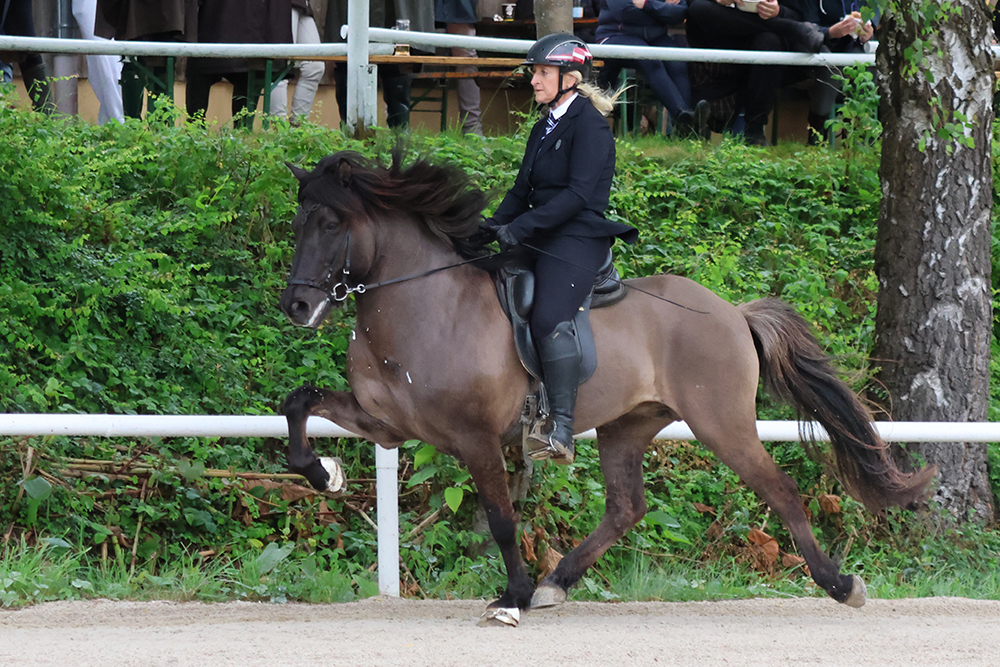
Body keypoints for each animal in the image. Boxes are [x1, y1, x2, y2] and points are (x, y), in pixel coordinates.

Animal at [278, 151, 932, 628]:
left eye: (331, 224)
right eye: (297, 223)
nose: (297, 307)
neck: (423, 306)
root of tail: (731, 310)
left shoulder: (476, 438)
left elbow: (501, 520)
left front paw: (511, 598)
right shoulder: (387, 423)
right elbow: (298, 402)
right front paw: (324, 474)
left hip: (721, 423)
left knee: (781, 491)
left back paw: (840, 584)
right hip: (629, 423)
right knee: (626, 507)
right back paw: (557, 584)